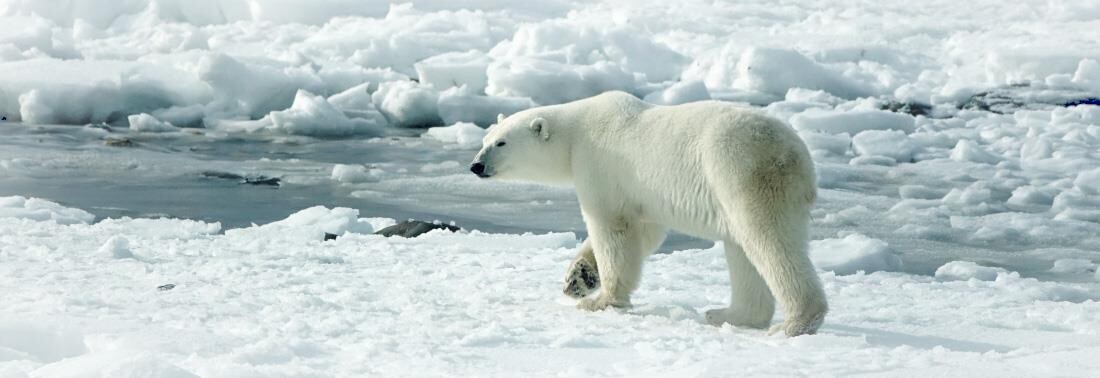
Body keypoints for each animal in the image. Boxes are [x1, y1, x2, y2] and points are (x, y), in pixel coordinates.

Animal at [470, 90, 827, 336]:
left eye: (501, 143)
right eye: (485, 138)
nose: (476, 165)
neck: (575, 132)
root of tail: (796, 155)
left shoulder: (600, 165)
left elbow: (612, 228)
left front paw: (600, 300)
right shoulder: (642, 194)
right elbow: (644, 231)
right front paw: (578, 279)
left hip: (741, 172)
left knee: (767, 241)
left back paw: (794, 323)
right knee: (742, 249)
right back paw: (727, 314)